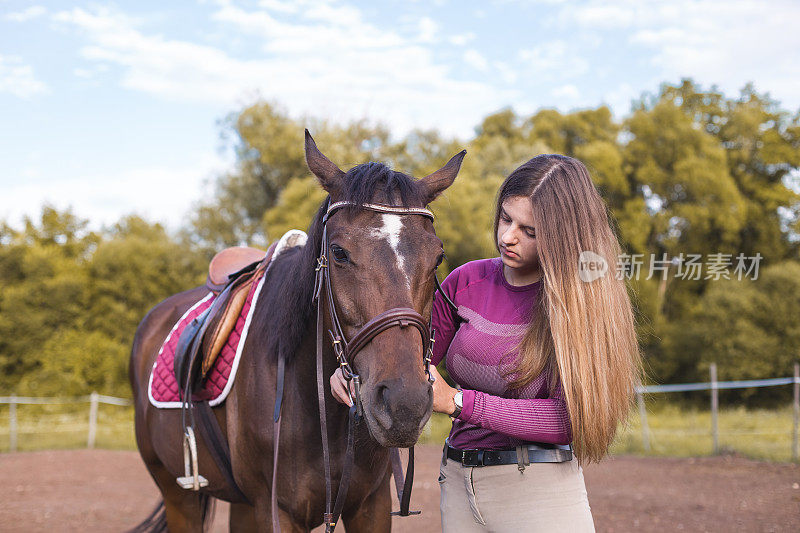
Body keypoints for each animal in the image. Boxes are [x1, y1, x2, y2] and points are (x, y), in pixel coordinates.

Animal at [129, 130, 466, 532]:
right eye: (338, 252)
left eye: (438, 257)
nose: (404, 404)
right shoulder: (276, 510)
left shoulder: (372, 504)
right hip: (179, 494)